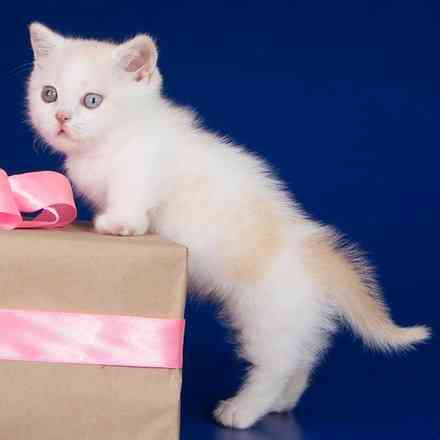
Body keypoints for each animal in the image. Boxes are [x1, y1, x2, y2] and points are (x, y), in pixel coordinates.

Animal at [26, 23, 430, 430]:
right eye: (49, 95)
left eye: (92, 100)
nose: (61, 117)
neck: (117, 139)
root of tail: (316, 252)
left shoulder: (142, 172)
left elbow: (132, 203)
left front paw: (118, 225)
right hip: (295, 320)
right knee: (301, 359)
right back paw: (282, 402)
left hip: (265, 315)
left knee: (276, 365)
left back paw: (243, 410)